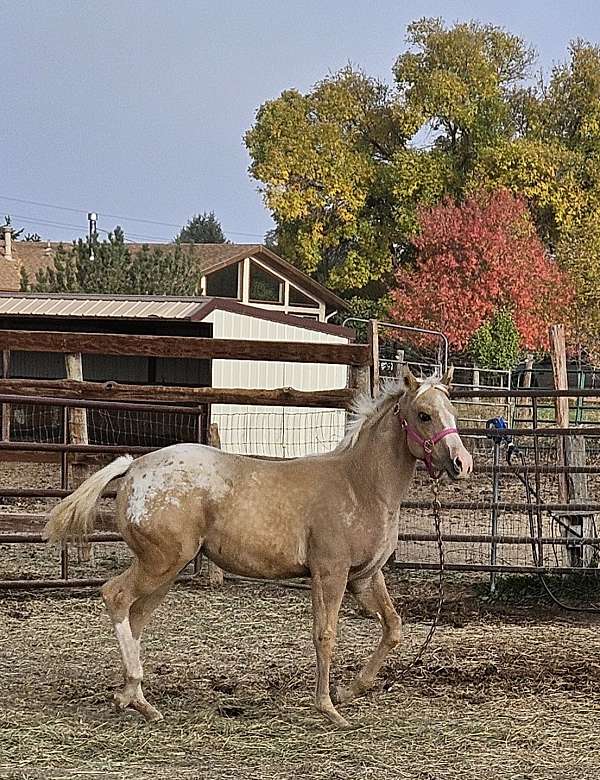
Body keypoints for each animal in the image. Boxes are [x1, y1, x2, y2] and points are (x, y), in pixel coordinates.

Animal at [43, 364, 474, 724]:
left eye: (451, 411)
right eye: (424, 414)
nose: (462, 463)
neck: (360, 484)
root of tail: (133, 468)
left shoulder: (364, 577)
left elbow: (393, 628)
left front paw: (349, 691)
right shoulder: (330, 573)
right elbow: (325, 634)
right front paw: (329, 708)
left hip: (165, 571)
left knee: (136, 617)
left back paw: (137, 700)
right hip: (160, 563)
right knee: (116, 597)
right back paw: (131, 690)